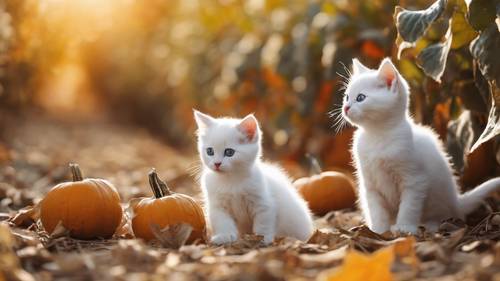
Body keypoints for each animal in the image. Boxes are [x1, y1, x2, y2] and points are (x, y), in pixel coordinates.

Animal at [194, 109, 312, 243]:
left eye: (229, 152)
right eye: (210, 151)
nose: (217, 163)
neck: (232, 180)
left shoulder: (264, 204)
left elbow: (263, 223)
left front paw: (262, 239)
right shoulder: (217, 206)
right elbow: (222, 221)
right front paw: (224, 236)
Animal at [340, 57, 500, 234]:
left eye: (360, 98)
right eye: (347, 97)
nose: (345, 108)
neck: (377, 135)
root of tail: (456, 201)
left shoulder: (415, 180)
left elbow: (409, 206)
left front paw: (404, 228)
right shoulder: (370, 185)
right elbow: (376, 210)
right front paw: (378, 231)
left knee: (440, 216)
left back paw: (430, 226)